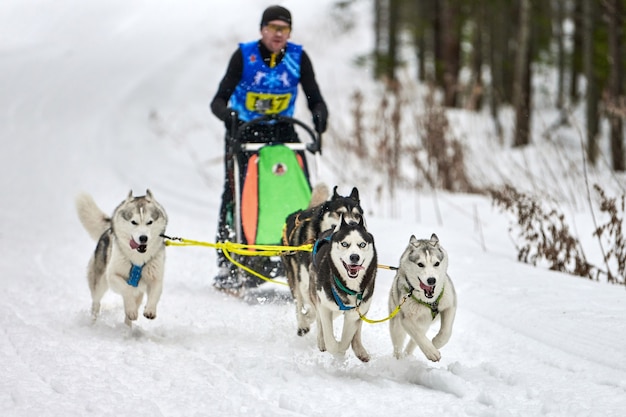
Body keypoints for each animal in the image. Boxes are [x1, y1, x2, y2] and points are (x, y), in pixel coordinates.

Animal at [76, 190, 168, 326]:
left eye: (149, 222)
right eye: (134, 222)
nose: (143, 238)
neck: (138, 258)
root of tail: (110, 227)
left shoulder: (155, 277)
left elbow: (155, 293)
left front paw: (150, 310)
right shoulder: (112, 275)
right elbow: (127, 288)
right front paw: (131, 308)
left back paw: (127, 326)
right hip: (100, 283)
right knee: (96, 303)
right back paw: (93, 322)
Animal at [282, 185, 364, 334]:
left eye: (357, 215)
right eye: (340, 213)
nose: (353, 224)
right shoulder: (306, 281)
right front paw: (308, 318)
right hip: (293, 276)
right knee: (298, 301)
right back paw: (302, 323)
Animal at [308, 214, 376, 360]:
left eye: (362, 244)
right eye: (345, 244)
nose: (354, 257)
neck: (349, 287)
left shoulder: (354, 313)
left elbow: (346, 339)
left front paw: (342, 349)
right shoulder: (324, 305)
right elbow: (331, 342)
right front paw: (335, 348)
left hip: (363, 308)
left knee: (357, 329)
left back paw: (359, 349)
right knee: (319, 320)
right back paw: (321, 341)